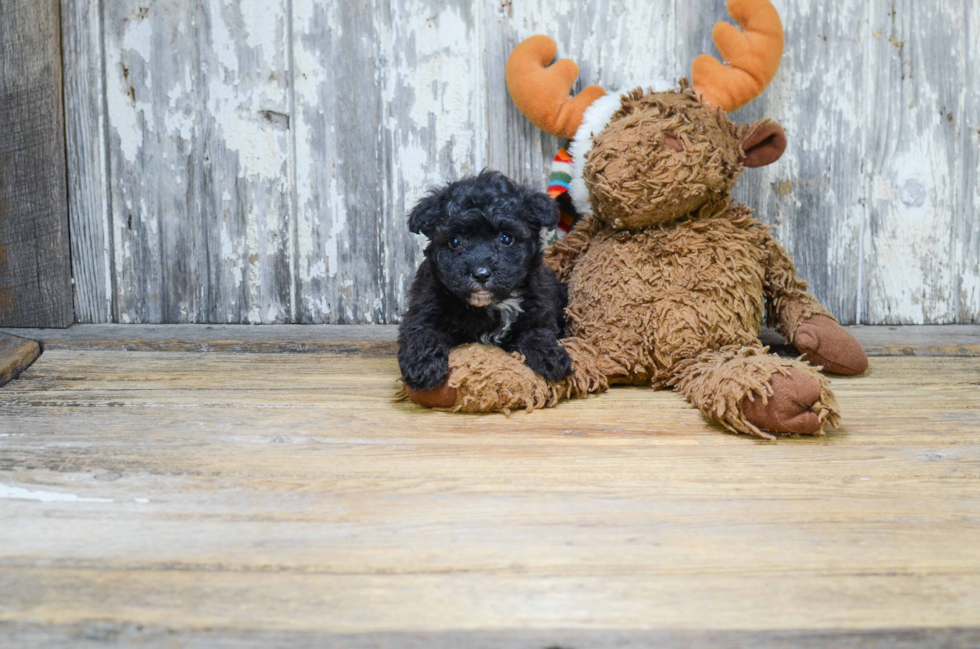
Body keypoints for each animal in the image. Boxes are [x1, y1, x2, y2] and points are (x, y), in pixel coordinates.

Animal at [398, 170, 576, 390]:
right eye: (455, 241)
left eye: (506, 238)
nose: (481, 274)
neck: (490, 306)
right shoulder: (423, 309)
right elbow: (422, 332)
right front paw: (423, 366)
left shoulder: (539, 308)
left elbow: (538, 333)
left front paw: (549, 356)